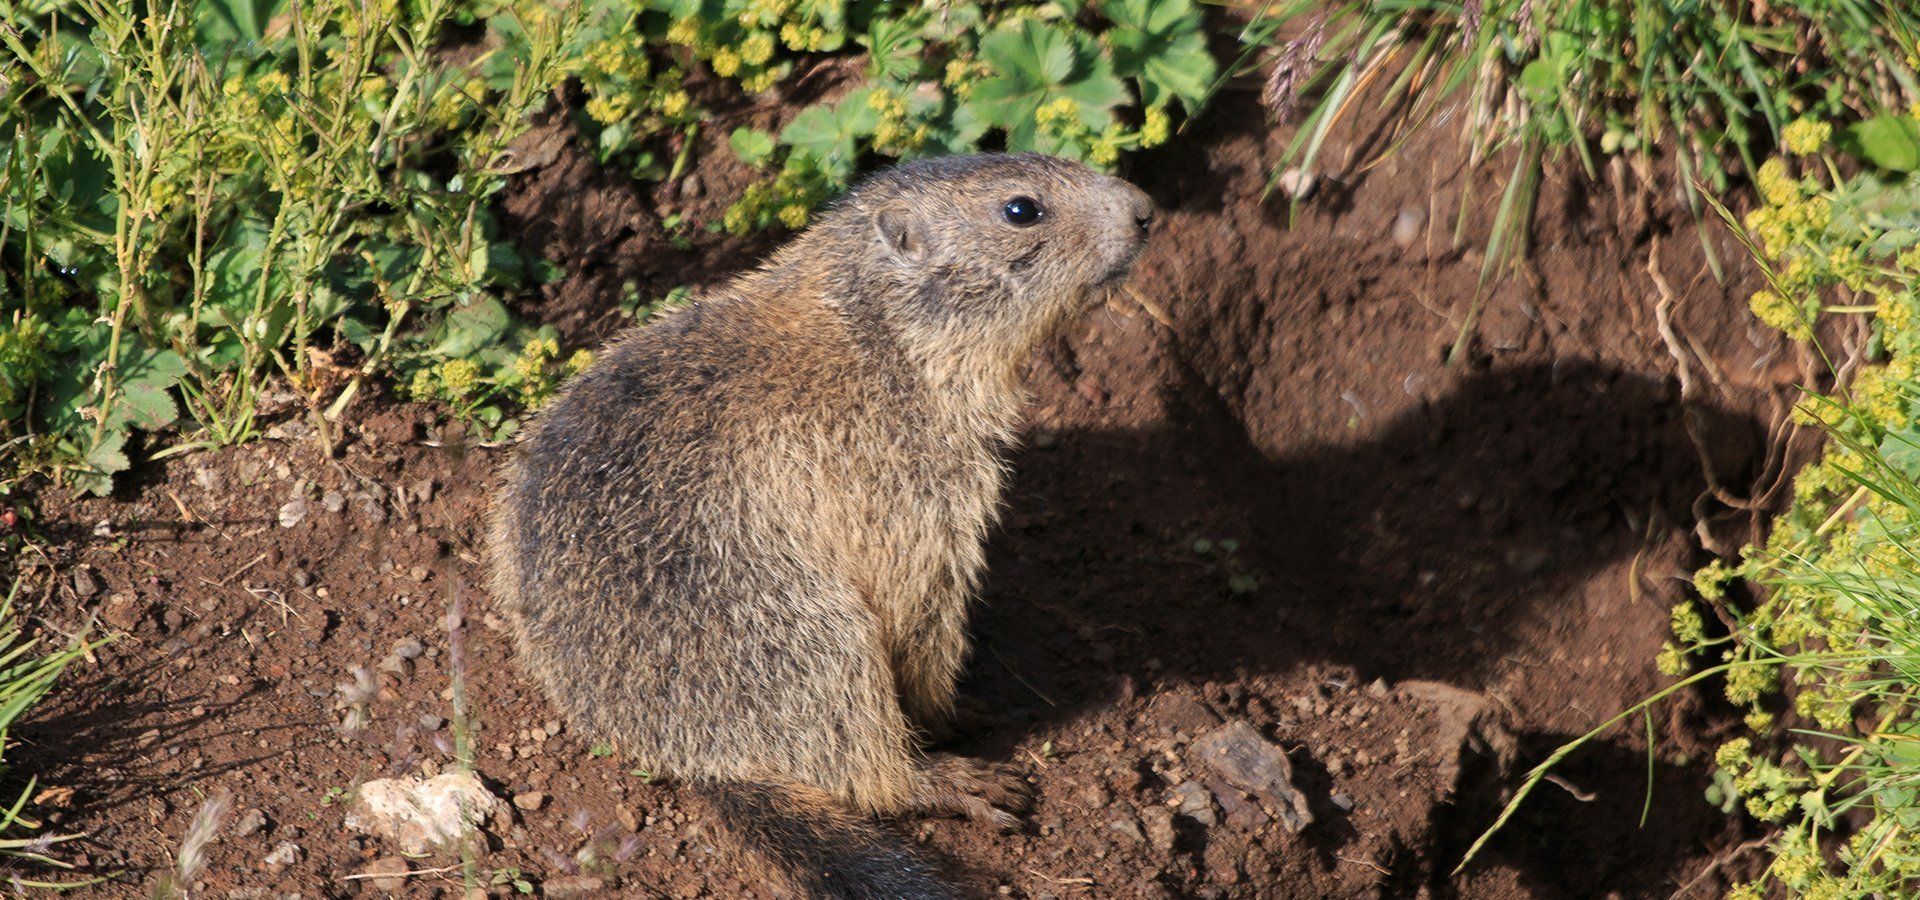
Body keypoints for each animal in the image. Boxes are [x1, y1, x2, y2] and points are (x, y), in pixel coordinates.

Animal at [489, 152, 1154, 898]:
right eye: (1021, 210)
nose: (1145, 207)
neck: (881, 335)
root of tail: (703, 759)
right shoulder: (905, 474)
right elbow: (919, 597)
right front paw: (950, 710)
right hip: (802, 633)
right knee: (861, 756)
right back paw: (949, 781)